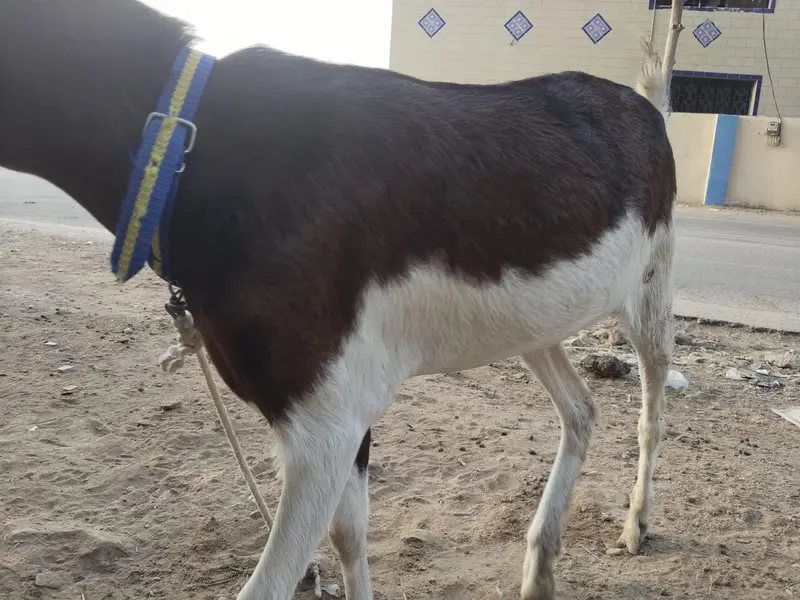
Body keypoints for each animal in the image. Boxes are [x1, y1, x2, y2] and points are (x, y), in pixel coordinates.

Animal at [0, 2, 676, 599]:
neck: (200, 154)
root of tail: (644, 103)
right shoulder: (336, 409)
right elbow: (349, 535)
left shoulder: (322, 418)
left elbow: (271, 584)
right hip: (533, 324)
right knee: (580, 408)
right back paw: (540, 568)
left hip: (653, 279)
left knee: (650, 402)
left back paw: (635, 525)